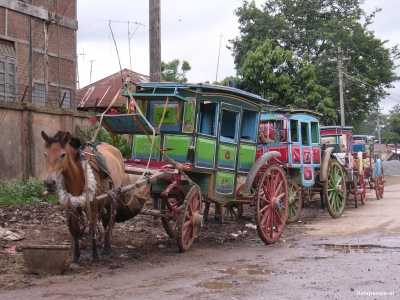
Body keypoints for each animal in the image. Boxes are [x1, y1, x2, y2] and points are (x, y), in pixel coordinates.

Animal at [41, 130, 148, 264]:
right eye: (45, 154)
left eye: (62, 154)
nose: (49, 182)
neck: (78, 174)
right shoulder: (71, 204)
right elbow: (76, 230)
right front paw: (76, 258)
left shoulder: (93, 203)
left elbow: (92, 228)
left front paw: (95, 256)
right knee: (106, 221)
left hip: (113, 197)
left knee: (109, 222)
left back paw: (107, 248)